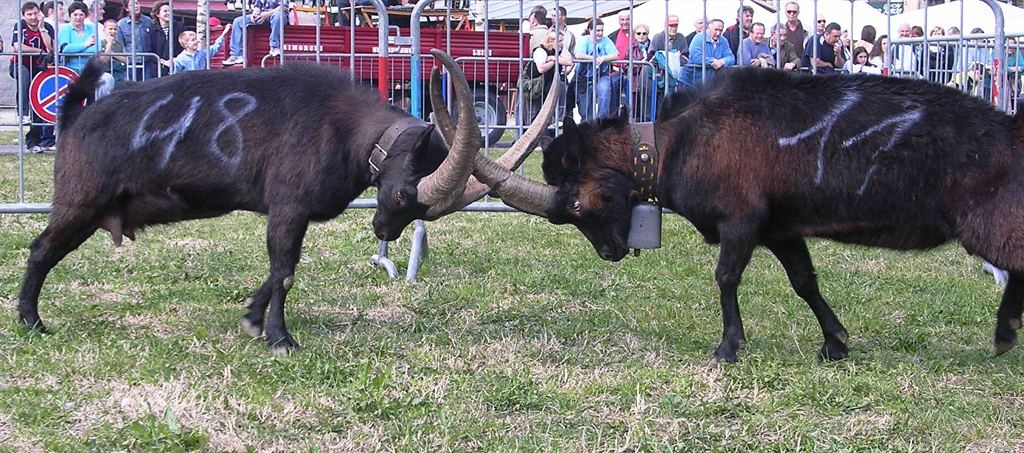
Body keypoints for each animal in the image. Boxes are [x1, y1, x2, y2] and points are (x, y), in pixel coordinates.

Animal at [468, 67, 1024, 362]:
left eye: (578, 204)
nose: (610, 253)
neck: (673, 145)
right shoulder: (779, 226)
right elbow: (804, 281)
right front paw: (835, 343)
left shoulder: (742, 218)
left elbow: (725, 276)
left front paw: (727, 348)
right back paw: (1005, 332)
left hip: (992, 224)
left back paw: (1004, 330)